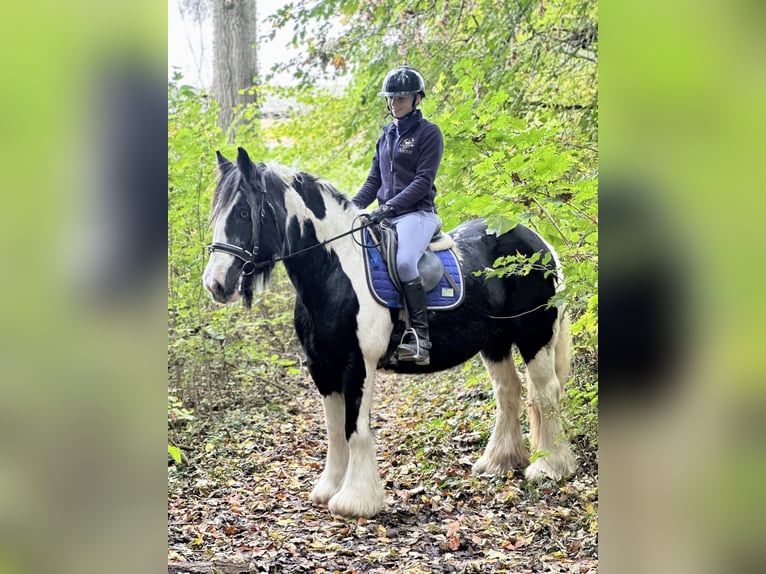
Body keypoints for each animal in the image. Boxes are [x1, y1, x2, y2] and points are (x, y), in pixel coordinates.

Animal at [202, 146, 576, 520]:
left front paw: (355, 501)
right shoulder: (322, 366)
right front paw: (329, 489)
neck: (337, 273)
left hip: (535, 337)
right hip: (495, 342)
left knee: (546, 393)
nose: (215, 283)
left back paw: (549, 467)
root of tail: (539, 241)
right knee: (508, 391)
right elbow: (334, 430)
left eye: (244, 211)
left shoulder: (357, 364)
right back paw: (500, 461)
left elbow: (355, 430)